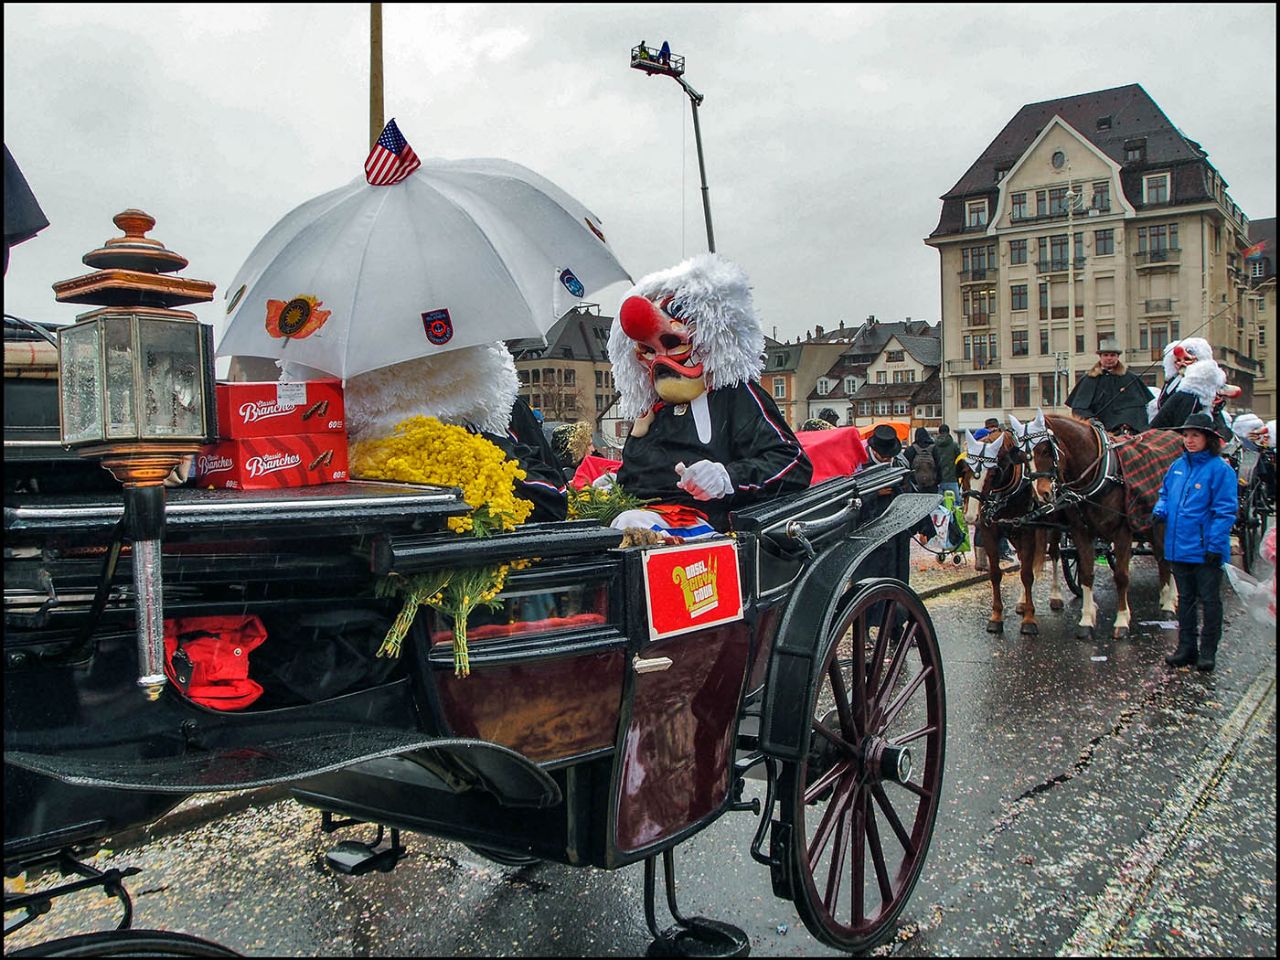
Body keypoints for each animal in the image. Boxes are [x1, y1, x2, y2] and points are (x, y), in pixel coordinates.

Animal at [962, 427, 1064, 640]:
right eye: (966, 471)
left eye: (993, 472)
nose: (971, 515)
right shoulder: (990, 530)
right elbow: (996, 574)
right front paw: (996, 617)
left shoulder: (1027, 530)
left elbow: (1026, 575)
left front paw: (1029, 620)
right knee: (1026, 560)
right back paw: (1022, 601)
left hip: (1055, 524)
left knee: (1054, 554)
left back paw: (1055, 595)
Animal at [1018, 414, 1177, 640]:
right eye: (1024, 457)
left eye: (1047, 449)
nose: (1042, 494)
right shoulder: (1081, 531)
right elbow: (1087, 574)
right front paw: (1086, 621)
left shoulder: (1123, 533)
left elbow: (1121, 576)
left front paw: (1122, 620)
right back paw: (1165, 596)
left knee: (1167, 557)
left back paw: (1170, 601)